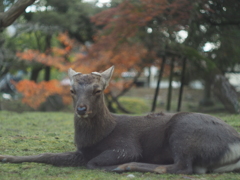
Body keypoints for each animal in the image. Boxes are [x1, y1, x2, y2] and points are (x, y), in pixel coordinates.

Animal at [1, 66, 240, 174]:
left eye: (98, 90)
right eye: (71, 90)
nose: (81, 109)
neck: (99, 136)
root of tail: (235, 144)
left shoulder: (126, 146)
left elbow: (93, 162)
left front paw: (113, 165)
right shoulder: (82, 151)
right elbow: (47, 155)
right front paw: (6, 157)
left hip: (184, 131)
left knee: (183, 167)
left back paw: (124, 166)